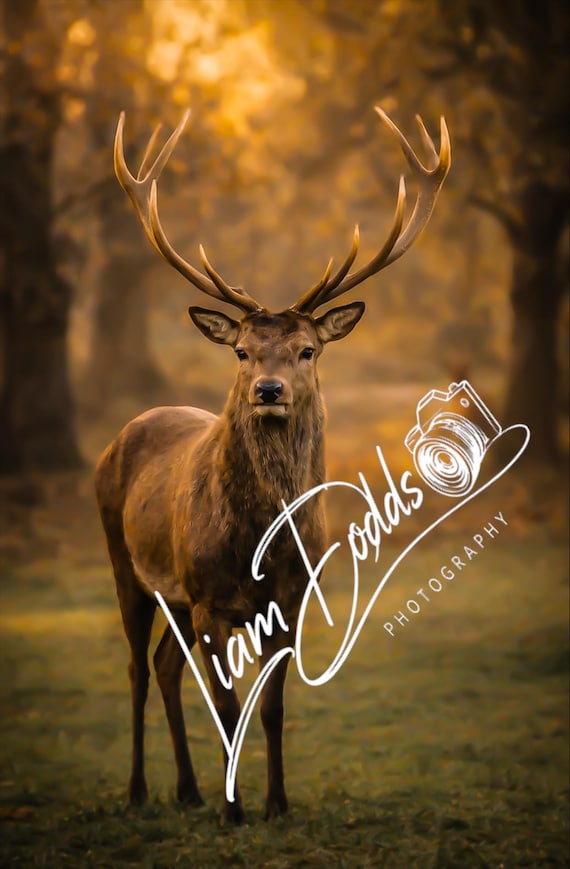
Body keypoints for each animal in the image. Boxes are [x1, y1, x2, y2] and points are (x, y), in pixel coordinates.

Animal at [94, 106, 451, 825]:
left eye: (308, 349)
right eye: (241, 350)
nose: (267, 390)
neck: (262, 542)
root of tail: (120, 436)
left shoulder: (288, 600)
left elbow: (275, 707)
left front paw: (277, 803)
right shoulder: (210, 597)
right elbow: (230, 708)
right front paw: (236, 812)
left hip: (177, 594)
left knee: (165, 664)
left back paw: (188, 789)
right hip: (129, 562)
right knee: (139, 668)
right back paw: (142, 790)